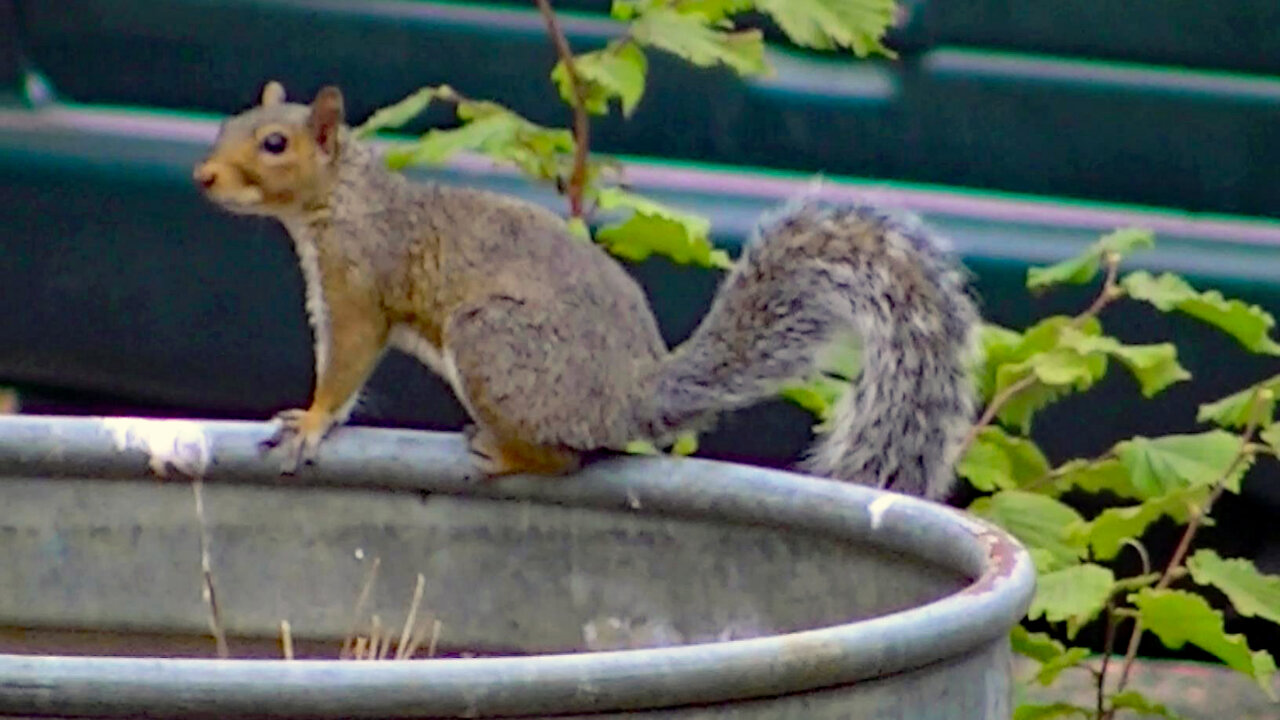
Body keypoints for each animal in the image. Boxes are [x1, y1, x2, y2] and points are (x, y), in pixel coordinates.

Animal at [189, 82, 972, 499]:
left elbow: (348, 361)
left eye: (275, 145)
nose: (203, 176)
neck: (341, 198)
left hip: (493, 341)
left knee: (564, 458)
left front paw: (312, 421)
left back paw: (504, 453)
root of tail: (632, 398)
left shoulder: (359, 282)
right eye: (229, 124)